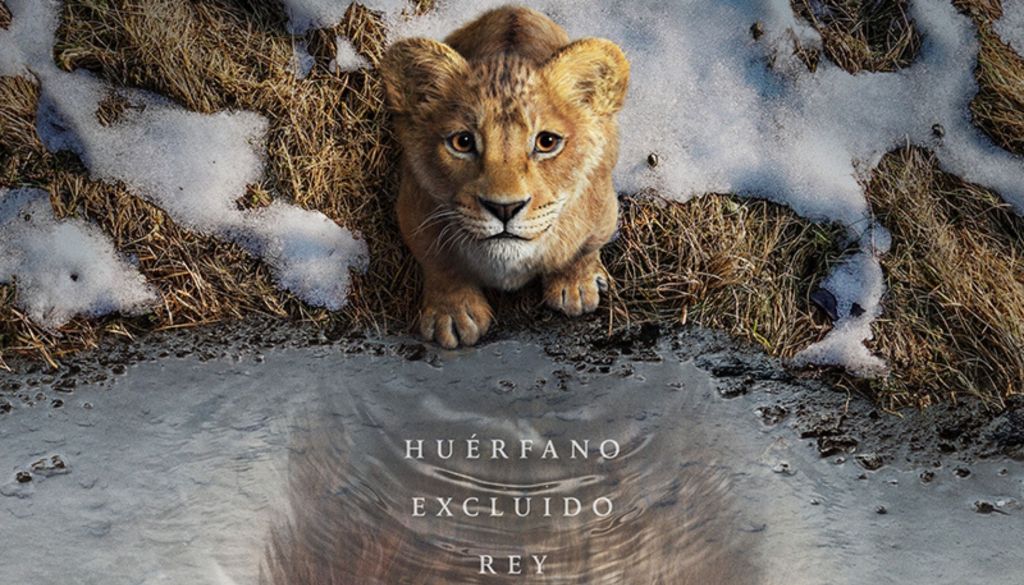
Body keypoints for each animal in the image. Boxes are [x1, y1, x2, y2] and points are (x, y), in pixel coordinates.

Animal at [381, 6, 630, 349]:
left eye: (546, 142)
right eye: (462, 142)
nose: (504, 208)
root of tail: (514, 9)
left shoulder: (603, 208)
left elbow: (583, 249)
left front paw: (576, 286)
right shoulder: (414, 208)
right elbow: (440, 263)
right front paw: (453, 315)